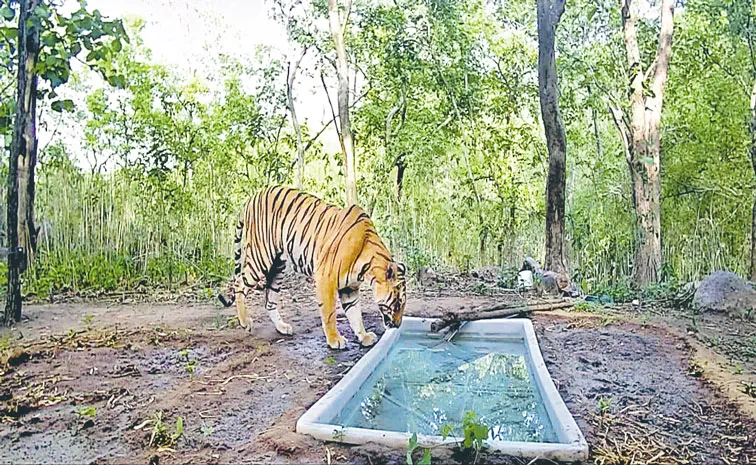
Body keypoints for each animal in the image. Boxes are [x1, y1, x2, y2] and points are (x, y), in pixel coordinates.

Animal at [218, 185, 407, 349]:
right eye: (397, 303)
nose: (397, 326)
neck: (367, 270)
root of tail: (253, 196)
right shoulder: (326, 278)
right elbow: (329, 313)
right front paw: (335, 340)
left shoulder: (349, 288)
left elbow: (355, 314)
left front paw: (364, 336)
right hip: (261, 258)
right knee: (239, 283)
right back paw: (245, 322)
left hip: (278, 267)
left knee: (269, 300)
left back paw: (282, 327)